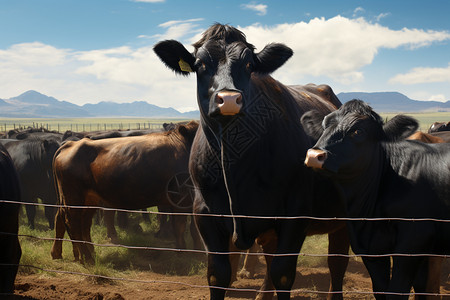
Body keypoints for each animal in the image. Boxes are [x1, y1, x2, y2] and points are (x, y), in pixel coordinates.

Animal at [51, 120, 200, 264]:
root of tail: (70, 144)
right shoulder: (180, 198)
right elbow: (179, 226)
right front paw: (183, 252)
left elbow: (194, 228)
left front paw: (198, 251)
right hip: (74, 198)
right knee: (73, 222)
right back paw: (87, 257)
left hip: (87, 199)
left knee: (76, 221)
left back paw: (67, 253)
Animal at [155, 24, 348, 300]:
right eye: (200, 64)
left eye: (248, 65)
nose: (229, 99)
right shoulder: (204, 213)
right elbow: (218, 274)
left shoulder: (295, 213)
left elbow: (283, 273)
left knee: (337, 263)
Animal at [302, 100, 450, 298]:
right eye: (324, 127)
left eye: (358, 131)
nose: (313, 155)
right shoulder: (370, 250)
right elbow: (381, 289)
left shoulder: (414, 241)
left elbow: (397, 290)